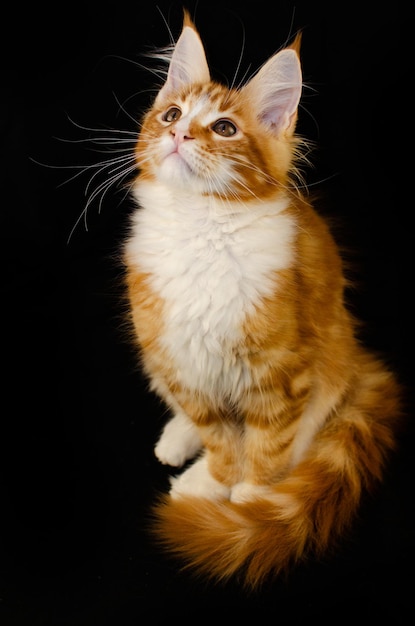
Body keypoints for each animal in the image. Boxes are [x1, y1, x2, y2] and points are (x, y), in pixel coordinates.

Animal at [122, 8, 404, 584]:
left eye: (224, 128)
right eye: (172, 114)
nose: (178, 133)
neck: (200, 228)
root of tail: (361, 360)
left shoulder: (282, 373)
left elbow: (269, 447)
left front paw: (249, 505)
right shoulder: (186, 362)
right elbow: (221, 438)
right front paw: (216, 482)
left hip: (330, 363)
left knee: (304, 437)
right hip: (157, 355)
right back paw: (181, 450)